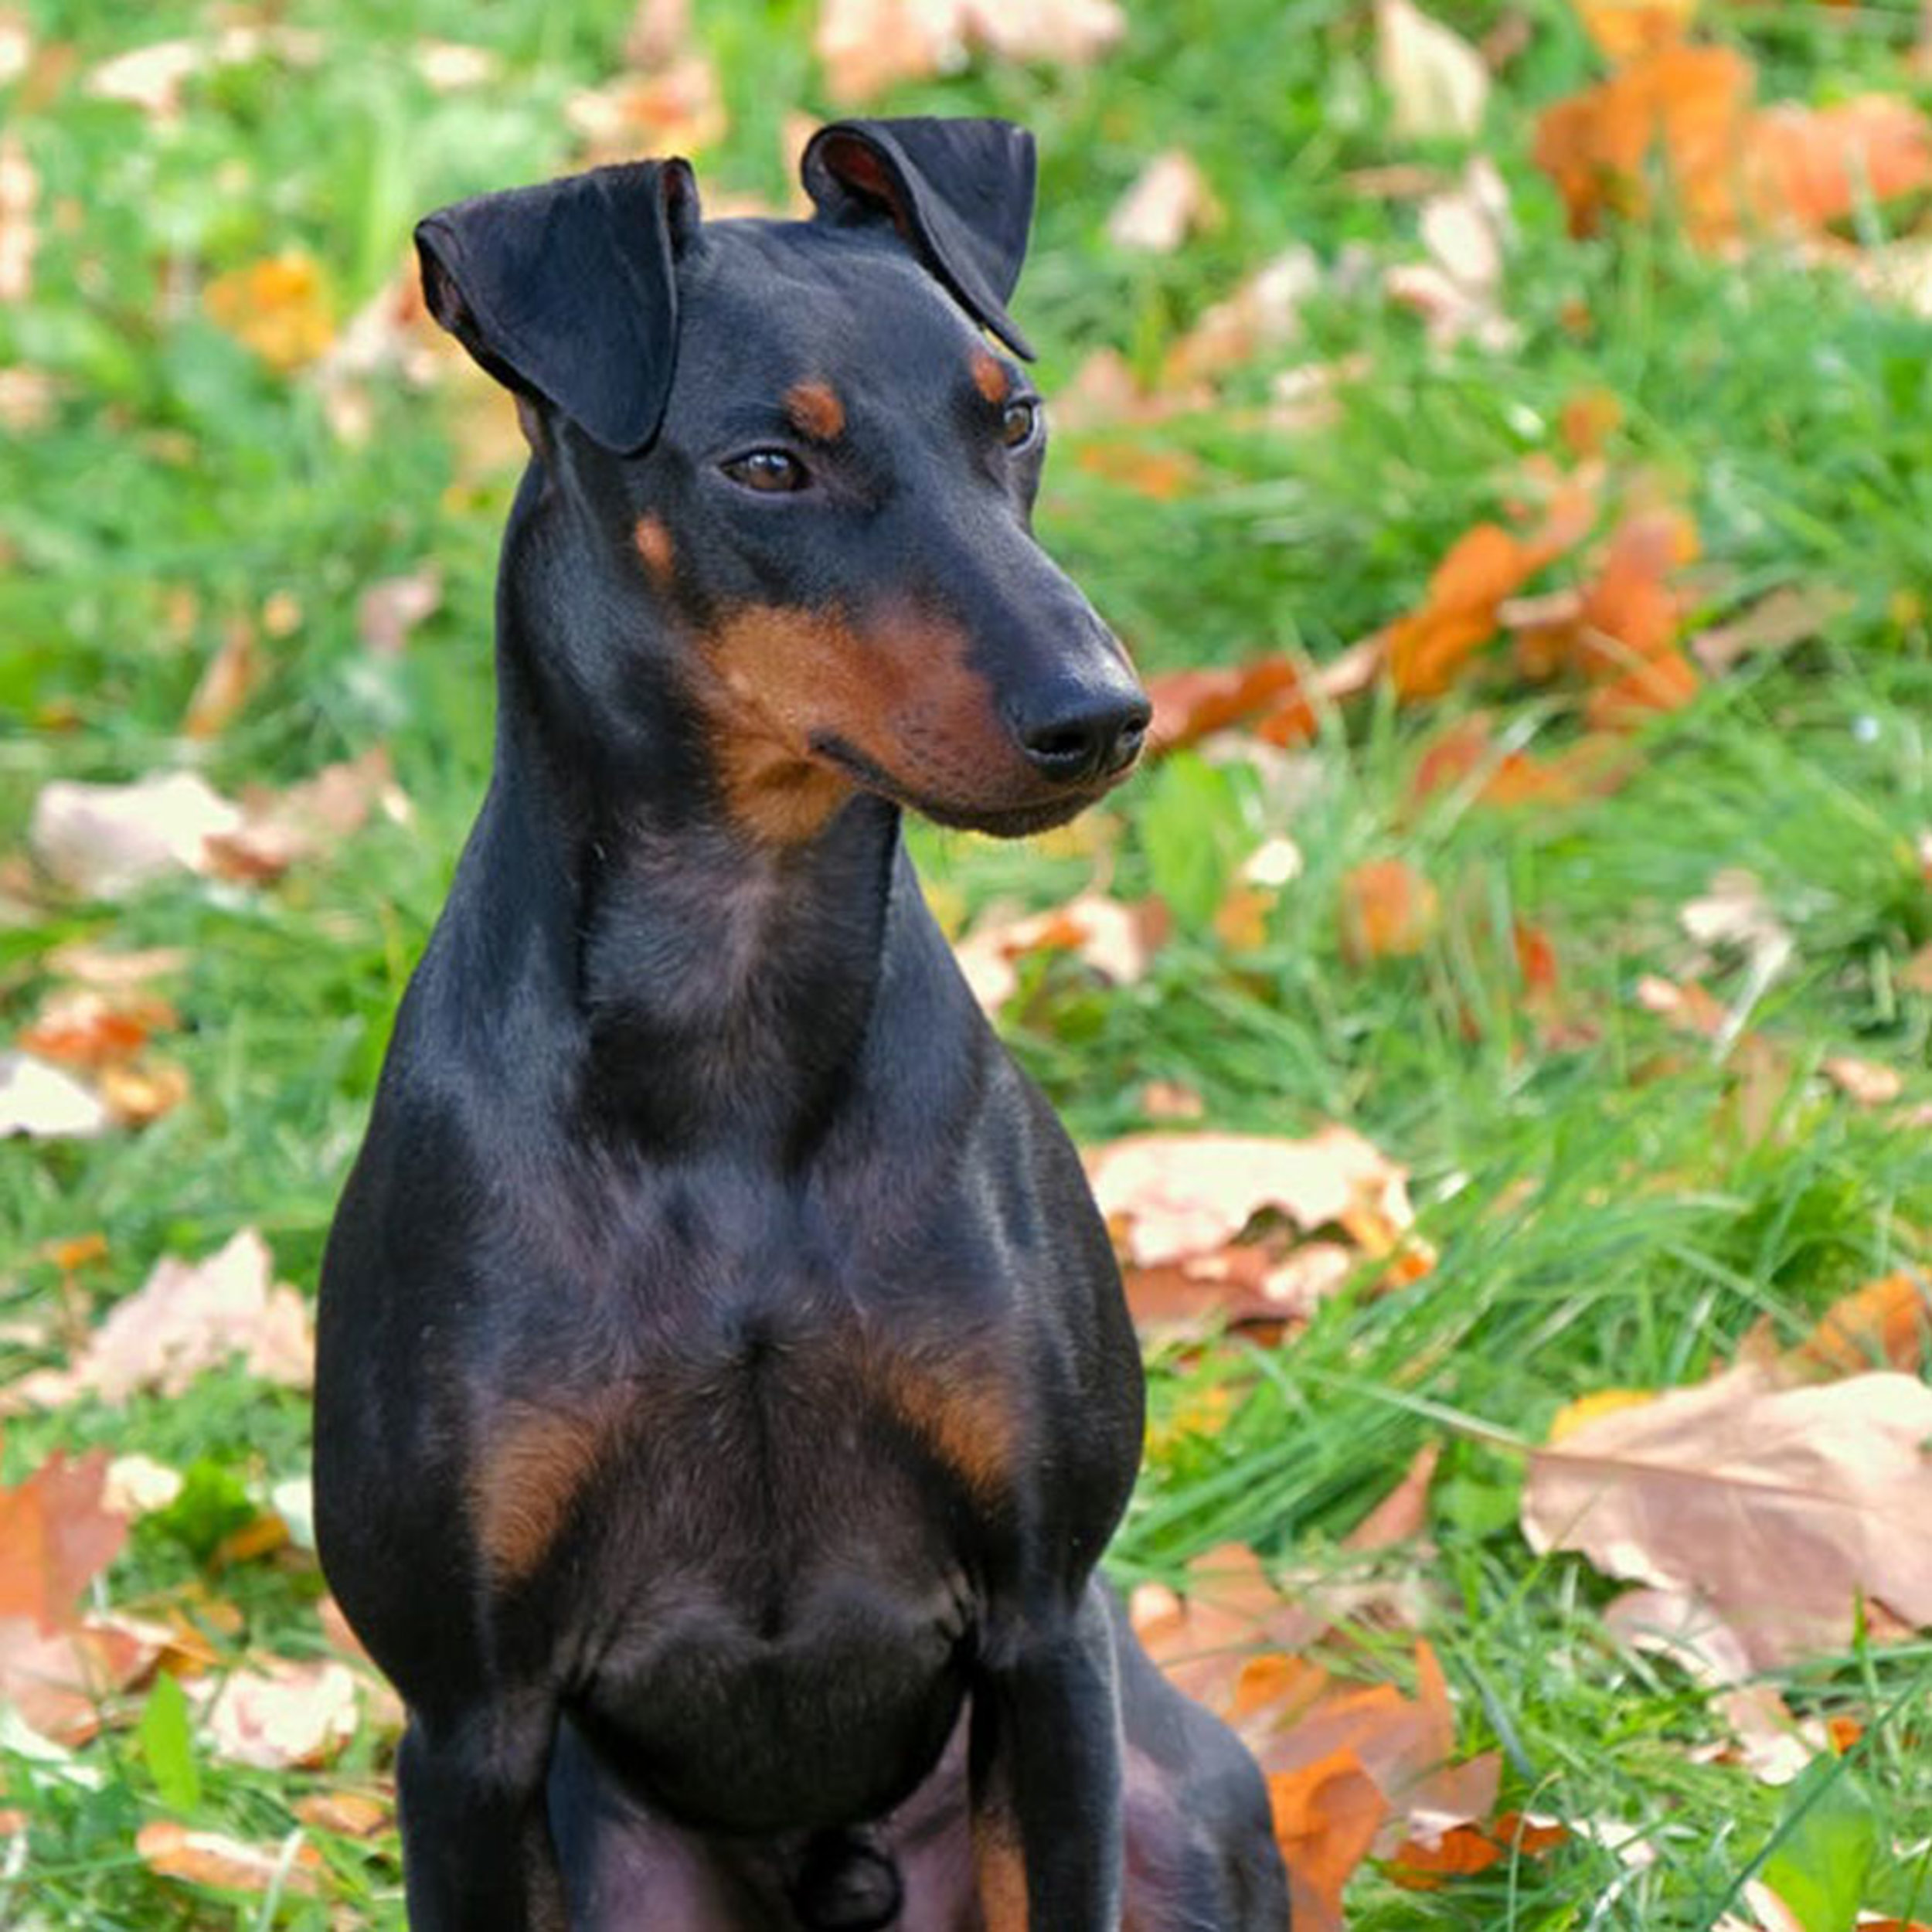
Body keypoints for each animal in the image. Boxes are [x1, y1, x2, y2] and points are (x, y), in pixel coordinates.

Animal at [313, 113, 1283, 1924]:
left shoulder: (1045, 1629)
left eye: (1012, 414)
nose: (1102, 713)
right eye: (769, 467)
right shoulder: (466, 1725)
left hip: (1174, 1801)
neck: (734, 1031)